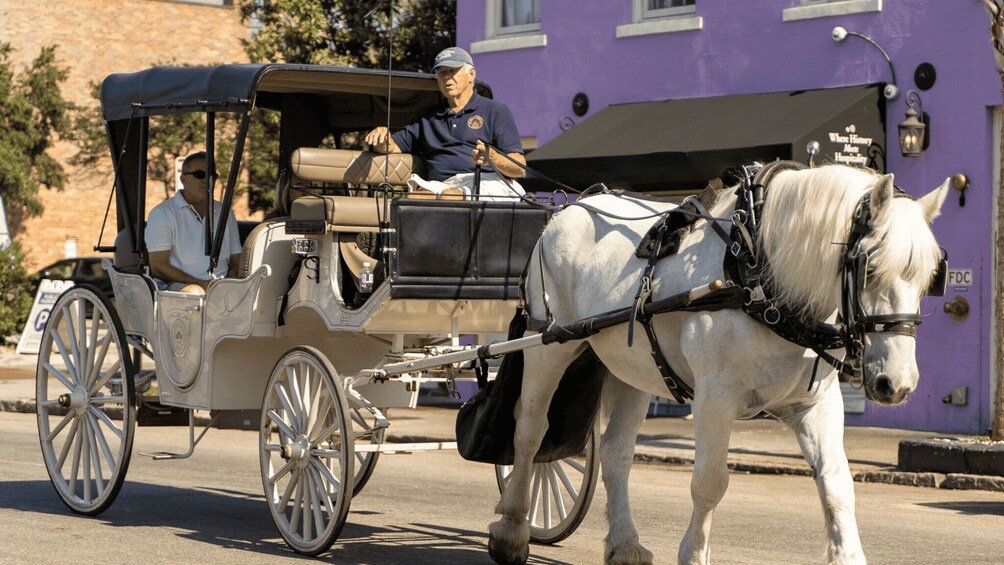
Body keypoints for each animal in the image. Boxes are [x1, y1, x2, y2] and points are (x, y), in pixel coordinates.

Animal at [485, 165, 947, 565]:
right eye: (870, 268)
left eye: (930, 277)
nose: (897, 384)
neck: (758, 276)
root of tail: (571, 207)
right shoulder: (715, 397)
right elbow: (709, 483)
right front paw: (694, 554)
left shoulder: (815, 404)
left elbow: (837, 484)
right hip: (548, 347)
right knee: (530, 433)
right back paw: (512, 529)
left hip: (632, 367)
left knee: (616, 452)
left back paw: (624, 543)